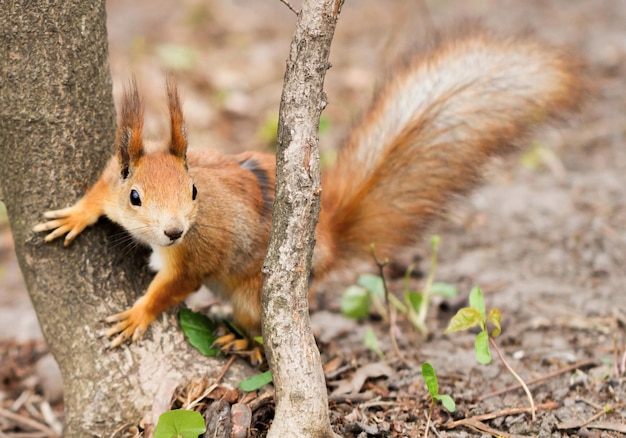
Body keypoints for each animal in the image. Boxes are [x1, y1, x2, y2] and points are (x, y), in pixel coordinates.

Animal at [33, 27, 580, 350]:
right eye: (135, 197)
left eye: (193, 193)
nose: (172, 232)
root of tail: (329, 237)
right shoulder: (113, 180)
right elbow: (98, 194)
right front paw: (75, 215)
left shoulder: (194, 257)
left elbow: (173, 288)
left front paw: (138, 315)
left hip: (255, 295)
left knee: (260, 331)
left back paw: (241, 341)